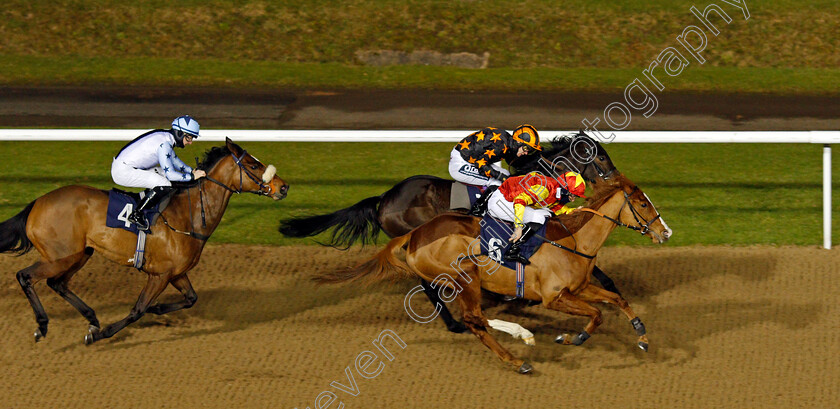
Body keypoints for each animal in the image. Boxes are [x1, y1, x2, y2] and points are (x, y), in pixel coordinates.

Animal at [0, 138, 288, 344]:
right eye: (253, 165)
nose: (283, 187)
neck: (188, 215)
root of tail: (37, 202)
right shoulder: (159, 275)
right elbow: (137, 309)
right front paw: (101, 334)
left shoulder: (176, 272)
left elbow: (191, 298)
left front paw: (157, 309)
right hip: (61, 256)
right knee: (26, 276)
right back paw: (43, 325)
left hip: (81, 254)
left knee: (57, 283)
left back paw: (91, 318)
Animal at [314, 173, 668, 372]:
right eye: (643, 204)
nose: (666, 232)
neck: (574, 240)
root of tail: (413, 236)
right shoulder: (554, 298)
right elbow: (597, 314)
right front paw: (573, 337)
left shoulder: (579, 288)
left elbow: (617, 301)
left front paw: (642, 336)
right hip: (464, 275)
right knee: (474, 318)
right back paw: (519, 341)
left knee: (478, 322)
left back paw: (515, 357)